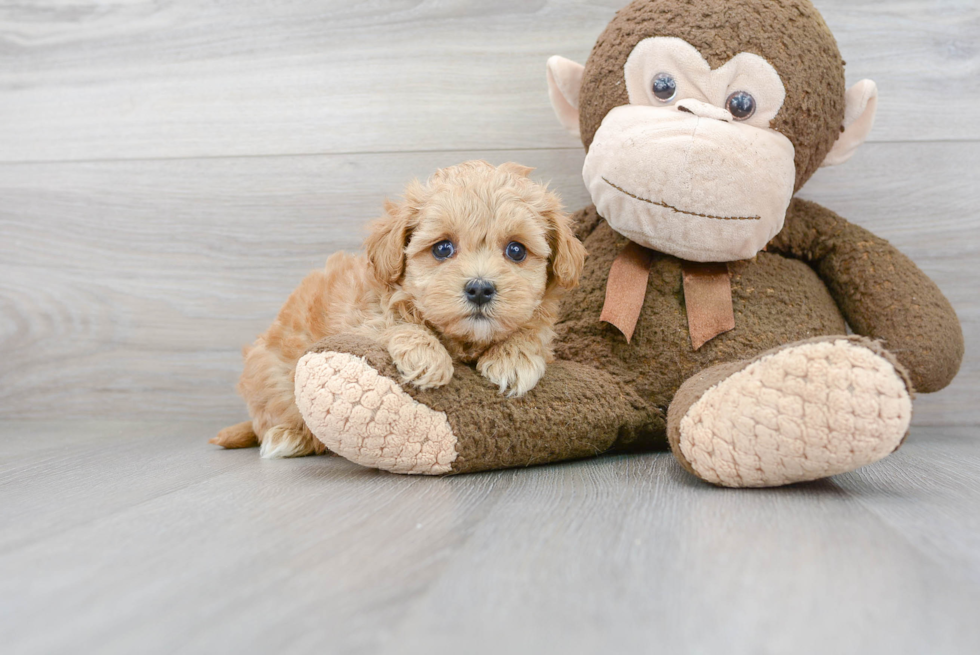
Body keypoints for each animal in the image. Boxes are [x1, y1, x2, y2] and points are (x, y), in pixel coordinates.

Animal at [212, 161, 584, 458]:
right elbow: (392, 322)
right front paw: (427, 355)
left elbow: (533, 330)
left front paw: (513, 358)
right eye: (443, 248)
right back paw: (289, 437)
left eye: (516, 250)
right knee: (275, 421)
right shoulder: (363, 314)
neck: (463, 341)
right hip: (271, 379)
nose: (480, 288)